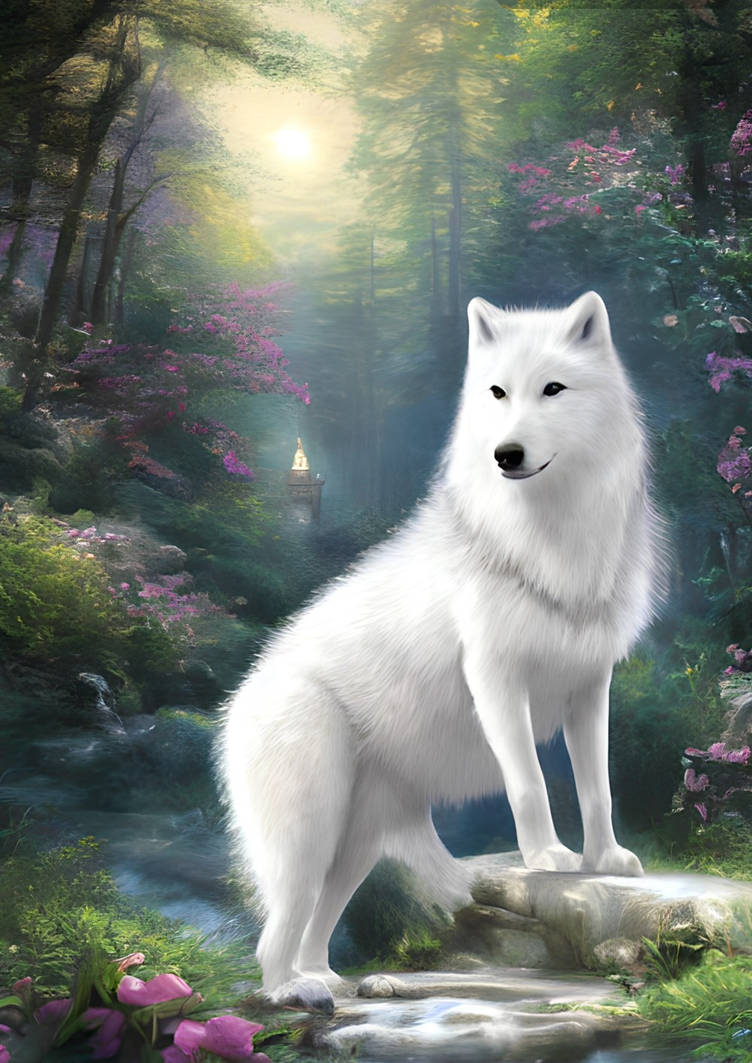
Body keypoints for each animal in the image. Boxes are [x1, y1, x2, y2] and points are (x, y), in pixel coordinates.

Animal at [220, 291, 664, 1014]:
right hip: (308, 838)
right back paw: (291, 990)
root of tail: (236, 697)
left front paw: (606, 859)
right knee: (272, 935)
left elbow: (596, 786)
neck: (546, 545)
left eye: (552, 389)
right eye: (497, 392)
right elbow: (530, 783)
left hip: (354, 850)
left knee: (317, 922)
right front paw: (548, 857)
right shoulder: (495, 677)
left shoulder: (590, 686)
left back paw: (327, 979)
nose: (506, 453)